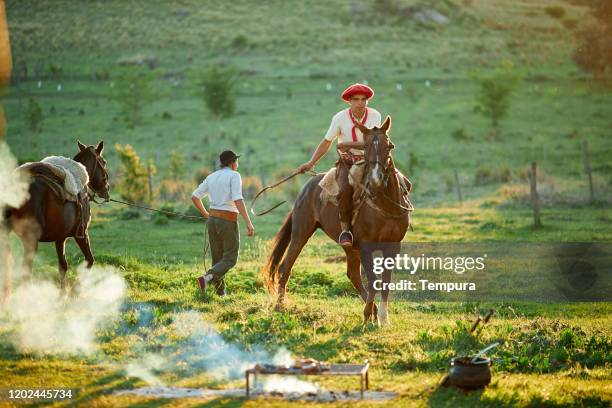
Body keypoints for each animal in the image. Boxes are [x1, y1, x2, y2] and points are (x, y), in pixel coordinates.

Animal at [2, 142, 110, 292]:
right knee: (25, 270)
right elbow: (89, 260)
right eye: (103, 162)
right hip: (30, 239)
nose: (107, 189)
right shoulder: (82, 234)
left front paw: (63, 292)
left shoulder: (60, 238)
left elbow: (63, 266)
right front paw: (74, 291)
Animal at [260, 115, 412, 326]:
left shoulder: (393, 246)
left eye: (389, 146)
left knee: (353, 275)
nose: (376, 179)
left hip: (350, 247)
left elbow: (385, 281)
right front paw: (369, 316)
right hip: (301, 232)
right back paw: (280, 306)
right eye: (365, 147)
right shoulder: (366, 246)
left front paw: (382, 318)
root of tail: (306, 188)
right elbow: (373, 279)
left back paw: (372, 310)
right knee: (285, 267)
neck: (385, 207)